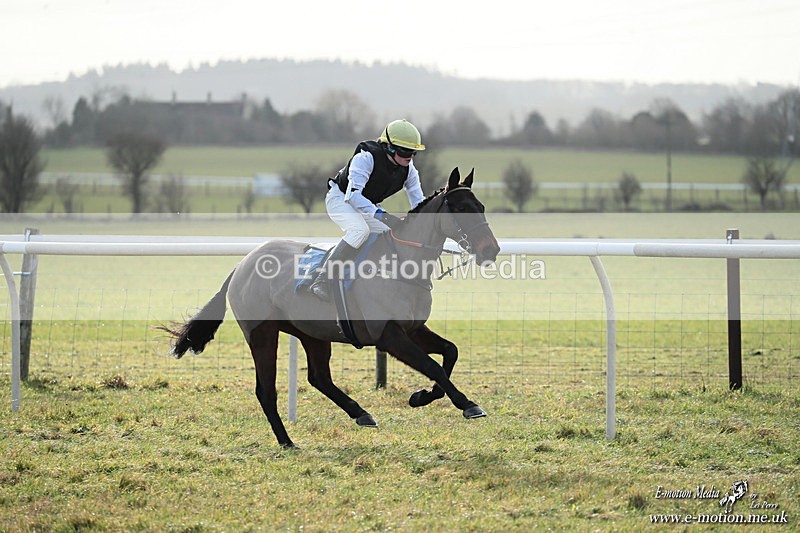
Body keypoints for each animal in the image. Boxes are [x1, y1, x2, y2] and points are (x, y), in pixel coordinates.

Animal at [162, 167, 500, 448]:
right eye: (461, 208)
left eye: (481, 207)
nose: (491, 250)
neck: (400, 263)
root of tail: (240, 267)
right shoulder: (388, 335)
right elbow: (432, 366)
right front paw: (466, 404)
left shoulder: (413, 328)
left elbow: (450, 352)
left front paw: (423, 397)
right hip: (261, 333)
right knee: (266, 390)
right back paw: (287, 442)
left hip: (312, 332)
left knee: (319, 377)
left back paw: (360, 413)